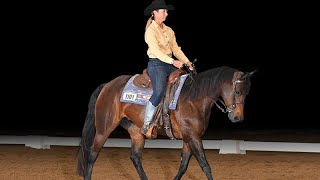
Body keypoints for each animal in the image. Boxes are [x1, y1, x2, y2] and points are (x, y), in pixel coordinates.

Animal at [76, 66, 256, 180]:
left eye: (247, 93)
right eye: (237, 91)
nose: (238, 118)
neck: (194, 97)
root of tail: (107, 85)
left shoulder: (189, 138)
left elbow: (183, 166)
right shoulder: (193, 137)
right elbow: (205, 165)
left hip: (137, 132)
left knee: (135, 157)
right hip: (103, 129)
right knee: (91, 156)